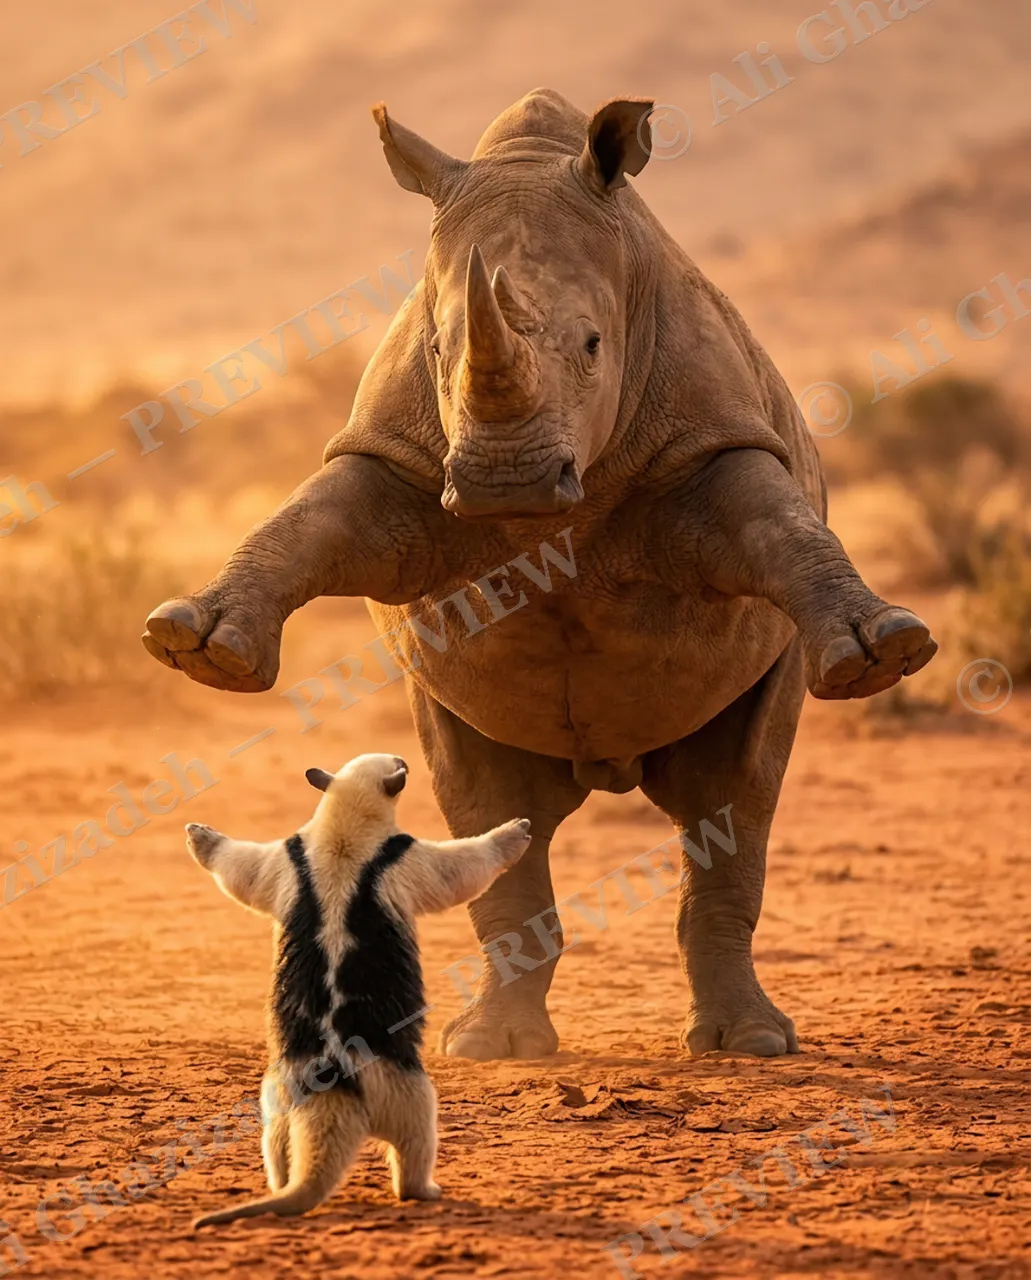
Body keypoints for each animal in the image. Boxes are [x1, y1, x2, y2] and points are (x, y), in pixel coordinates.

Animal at [143, 90, 936, 1060]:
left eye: (594, 344)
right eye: (438, 350)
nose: (505, 483)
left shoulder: (716, 441)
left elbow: (777, 526)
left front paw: (883, 653)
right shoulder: (393, 458)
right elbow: (312, 516)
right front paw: (196, 649)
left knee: (732, 797)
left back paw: (745, 1046)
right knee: (485, 801)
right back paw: (490, 1049)